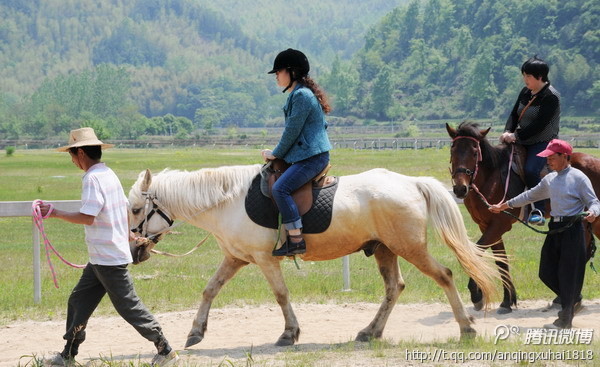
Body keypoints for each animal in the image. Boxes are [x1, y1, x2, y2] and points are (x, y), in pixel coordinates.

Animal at [129, 165, 504, 350]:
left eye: (134, 209)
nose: (134, 251)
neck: (227, 201)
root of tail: (411, 183)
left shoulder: (265, 260)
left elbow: (281, 295)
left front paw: (289, 334)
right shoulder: (235, 258)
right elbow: (209, 290)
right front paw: (196, 332)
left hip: (410, 248)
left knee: (444, 276)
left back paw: (466, 329)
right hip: (385, 250)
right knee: (394, 288)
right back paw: (370, 332)